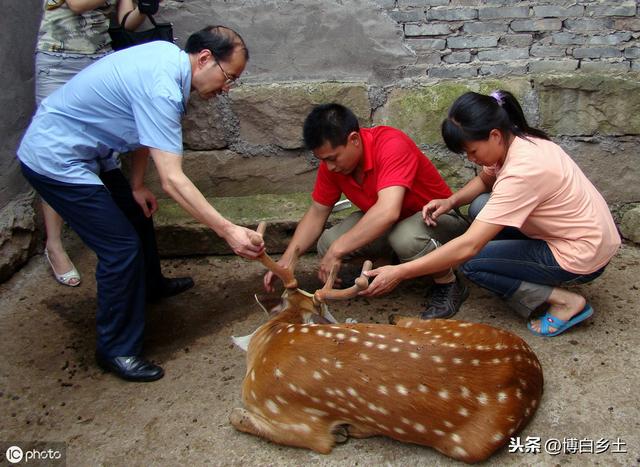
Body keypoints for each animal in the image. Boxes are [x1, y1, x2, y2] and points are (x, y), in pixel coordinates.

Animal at [231, 223, 544, 464]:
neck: (272, 338)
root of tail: (532, 368)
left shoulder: (297, 423)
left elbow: (237, 417)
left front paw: (341, 432)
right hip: (463, 327)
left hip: (471, 445)